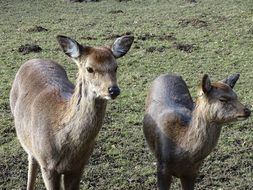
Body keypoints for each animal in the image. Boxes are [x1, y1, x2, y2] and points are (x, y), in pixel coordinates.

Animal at [9, 34, 134, 190]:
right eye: (89, 69)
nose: (113, 90)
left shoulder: (79, 167)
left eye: (116, 67)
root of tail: (33, 60)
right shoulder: (47, 166)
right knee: (31, 159)